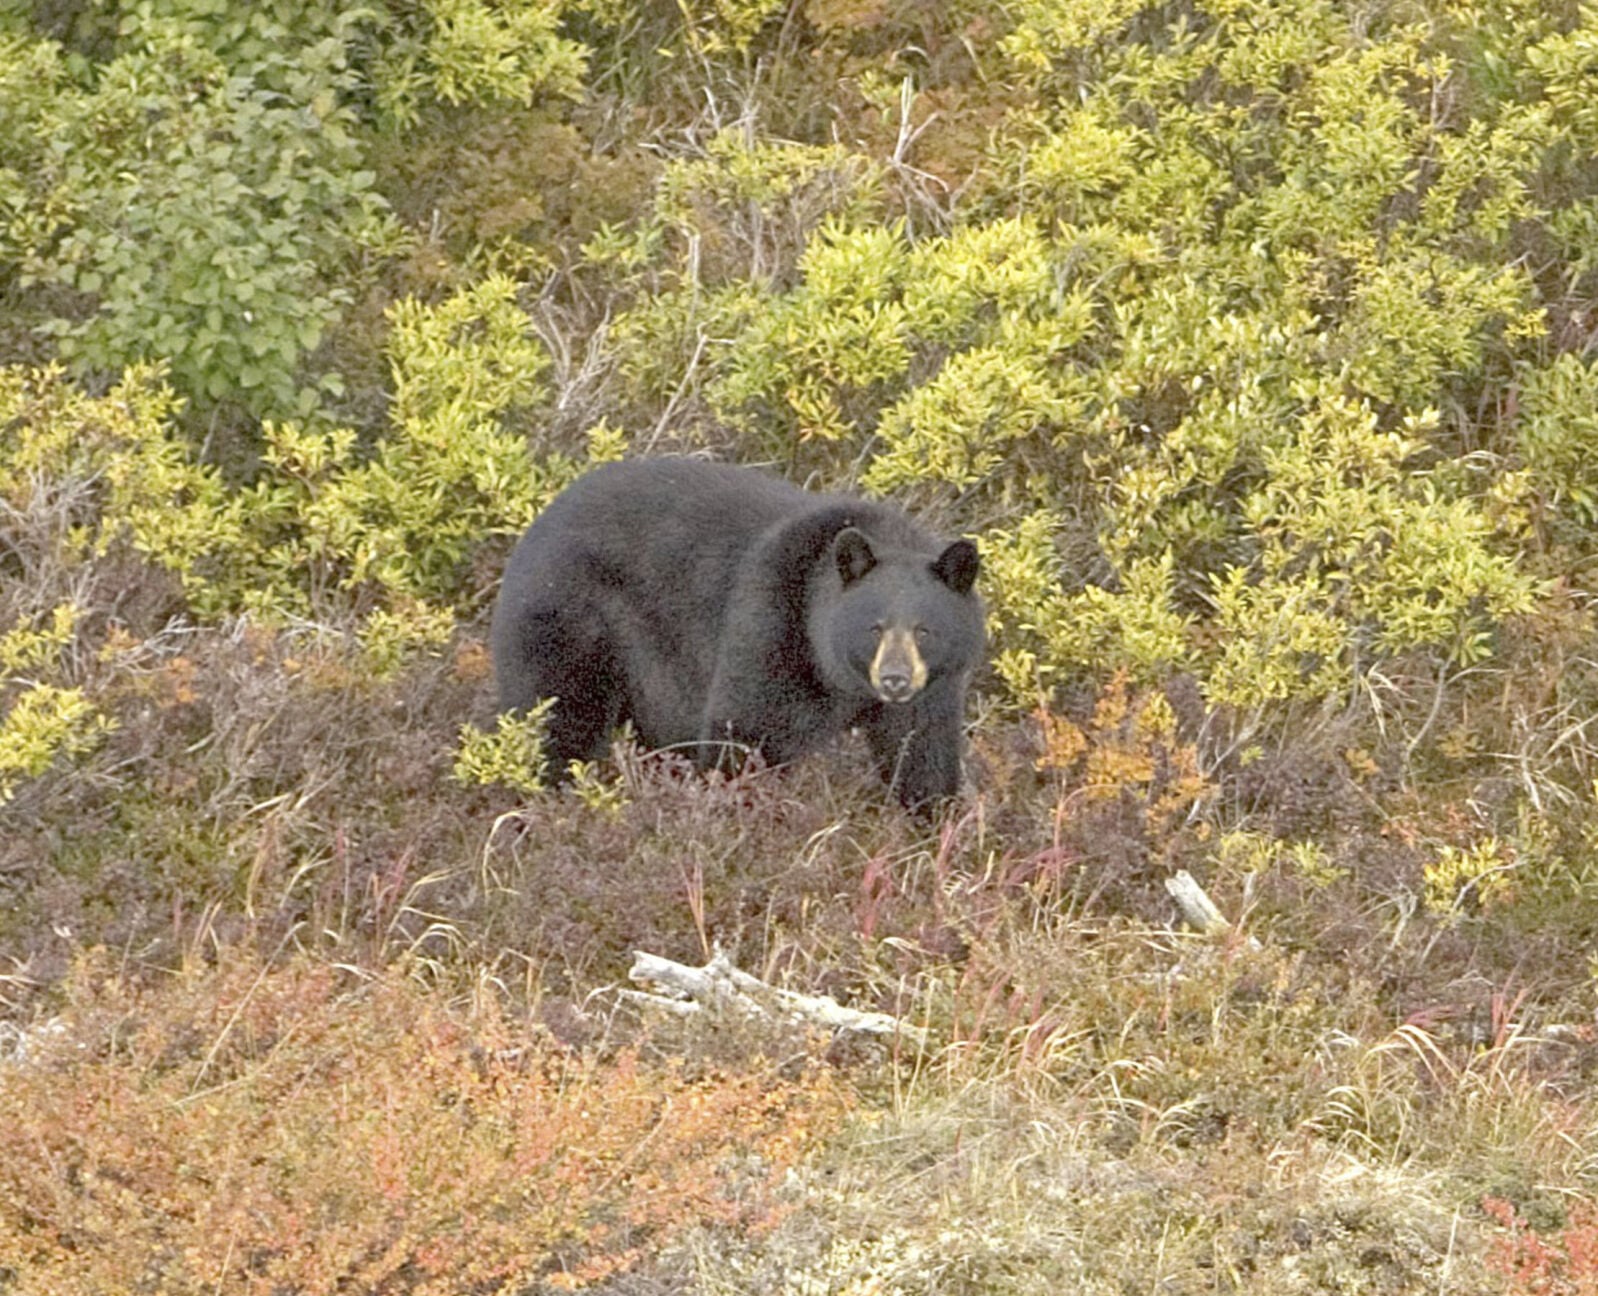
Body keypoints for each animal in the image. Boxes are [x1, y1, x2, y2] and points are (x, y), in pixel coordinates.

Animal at [489, 457, 983, 808]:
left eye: (925, 630)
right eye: (874, 626)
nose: (895, 679)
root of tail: (535, 527)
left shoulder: (934, 688)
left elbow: (922, 753)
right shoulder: (771, 625)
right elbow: (746, 731)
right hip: (571, 618)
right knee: (559, 716)